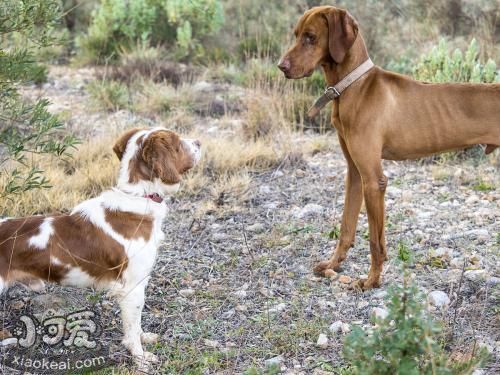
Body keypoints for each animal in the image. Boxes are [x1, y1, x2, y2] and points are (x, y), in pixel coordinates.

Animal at [0, 128, 199, 368]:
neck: (138, 197)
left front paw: (145, 338)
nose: (199, 142)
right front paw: (140, 357)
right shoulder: (132, 288)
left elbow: (137, 324)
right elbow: (132, 328)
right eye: (178, 143)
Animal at [280, 5, 498, 290]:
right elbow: (346, 227)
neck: (353, 86)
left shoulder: (374, 181)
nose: (281, 67)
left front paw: (371, 280)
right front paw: (332, 265)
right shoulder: (355, 173)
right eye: (296, 35)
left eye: (310, 37)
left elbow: (374, 241)